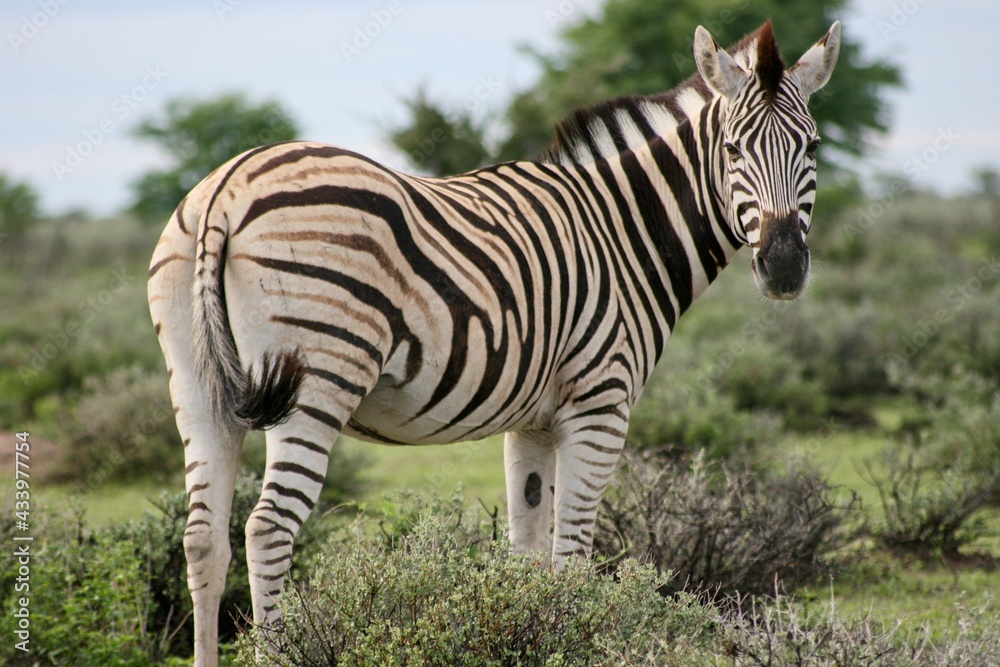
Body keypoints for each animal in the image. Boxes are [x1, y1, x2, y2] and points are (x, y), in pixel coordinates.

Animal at [147, 19, 839, 666]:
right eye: (733, 149)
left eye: (812, 146)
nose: (783, 267)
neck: (622, 233)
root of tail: (227, 188)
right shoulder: (600, 404)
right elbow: (571, 553)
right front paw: (577, 639)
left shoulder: (532, 421)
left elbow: (527, 550)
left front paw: (536, 633)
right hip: (319, 375)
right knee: (267, 529)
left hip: (198, 384)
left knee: (203, 537)